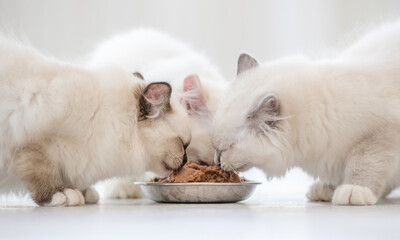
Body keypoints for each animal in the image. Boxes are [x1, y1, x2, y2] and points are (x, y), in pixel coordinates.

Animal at [0, 36, 191, 205]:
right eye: (183, 144)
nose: (186, 160)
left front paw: (85, 193)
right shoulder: (32, 144)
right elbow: (43, 171)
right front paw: (61, 194)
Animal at [214, 20, 400, 206]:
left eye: (225, 149)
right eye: (216, 148)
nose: (217, 162)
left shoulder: (379, 135)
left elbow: (364, 163)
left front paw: (354, 190)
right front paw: (327, 189)